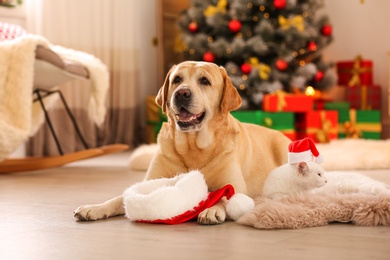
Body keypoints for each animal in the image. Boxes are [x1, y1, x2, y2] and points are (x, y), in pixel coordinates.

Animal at [74, 60, 290, 223]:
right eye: (177, 79)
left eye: (204, 81)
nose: (182, 93)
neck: (192, 147)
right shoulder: (150, 182)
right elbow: (120, 197)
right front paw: (94, 208)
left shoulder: (237, 187)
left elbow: (225, 197)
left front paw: (213, 209)